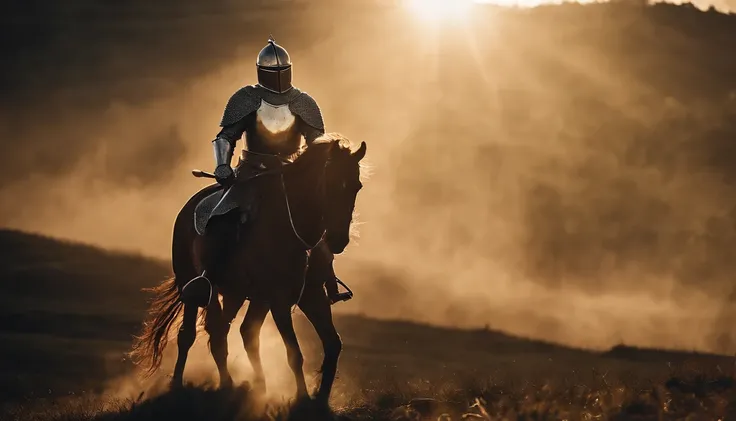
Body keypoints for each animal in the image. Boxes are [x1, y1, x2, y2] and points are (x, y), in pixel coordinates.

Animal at [132, 135, 368, 404]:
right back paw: (179, 385)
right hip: (192, 285)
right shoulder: (278, 301)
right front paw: (302, 396)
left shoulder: (310, 296)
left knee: (226, 333)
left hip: (237, 295)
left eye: (356, 186)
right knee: (189, 334)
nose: (339, 241)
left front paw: (320, 399)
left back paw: (239, 385)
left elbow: (332, 345)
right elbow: (294, 353)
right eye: (329, 184)